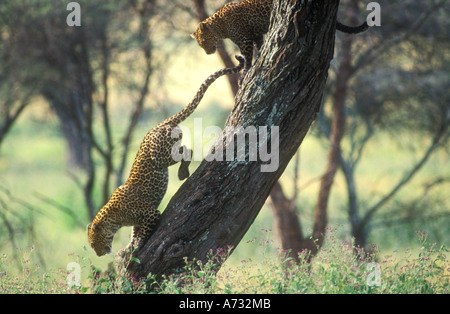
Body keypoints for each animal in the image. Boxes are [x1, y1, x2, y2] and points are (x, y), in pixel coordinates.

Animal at [86, 55, 244, 256]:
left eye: (93, 243)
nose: (99, 254)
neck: (113, 219)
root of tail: (157, 126)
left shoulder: (151, 214)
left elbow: (142, 235)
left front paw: (136, 248)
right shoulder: (139, 220)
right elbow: (135, 233)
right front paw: (128, 248)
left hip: (162, 156)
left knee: (187, 150)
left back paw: (182, 173)